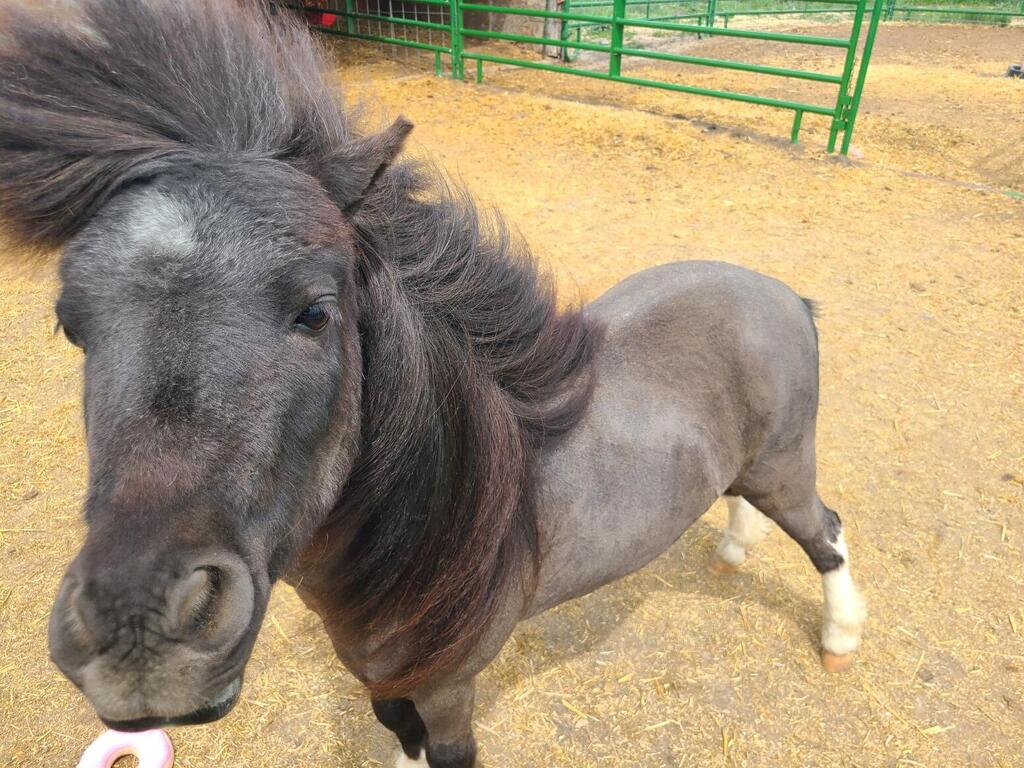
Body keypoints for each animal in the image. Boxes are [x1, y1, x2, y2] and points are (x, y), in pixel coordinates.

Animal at [0, 2, 866, 766]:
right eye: (72, 326)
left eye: (316, 311)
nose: (139, 634)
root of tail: (781, 294)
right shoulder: (380, 676)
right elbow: (398, 734)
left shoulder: (451, 685)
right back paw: (734, 548)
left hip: (788, 468)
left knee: (825, 533)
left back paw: (840, 638)